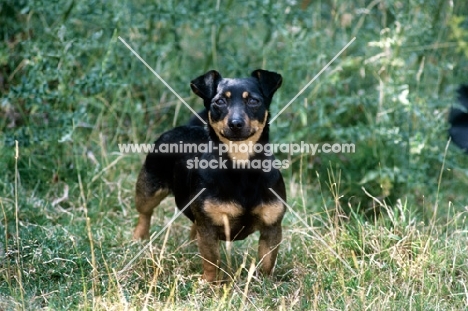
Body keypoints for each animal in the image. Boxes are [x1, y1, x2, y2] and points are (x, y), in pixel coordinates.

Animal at [132, 70, 286, 282]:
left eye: (253, 101)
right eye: (219, 101)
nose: (235, 123)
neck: (241, 165)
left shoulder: (272, 228)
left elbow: (267, 262)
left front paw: (265, 283)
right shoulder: (209, 228)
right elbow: (212, 260)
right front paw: (210, 283)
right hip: (149, 190)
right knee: (145, 213)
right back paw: (138, 238)